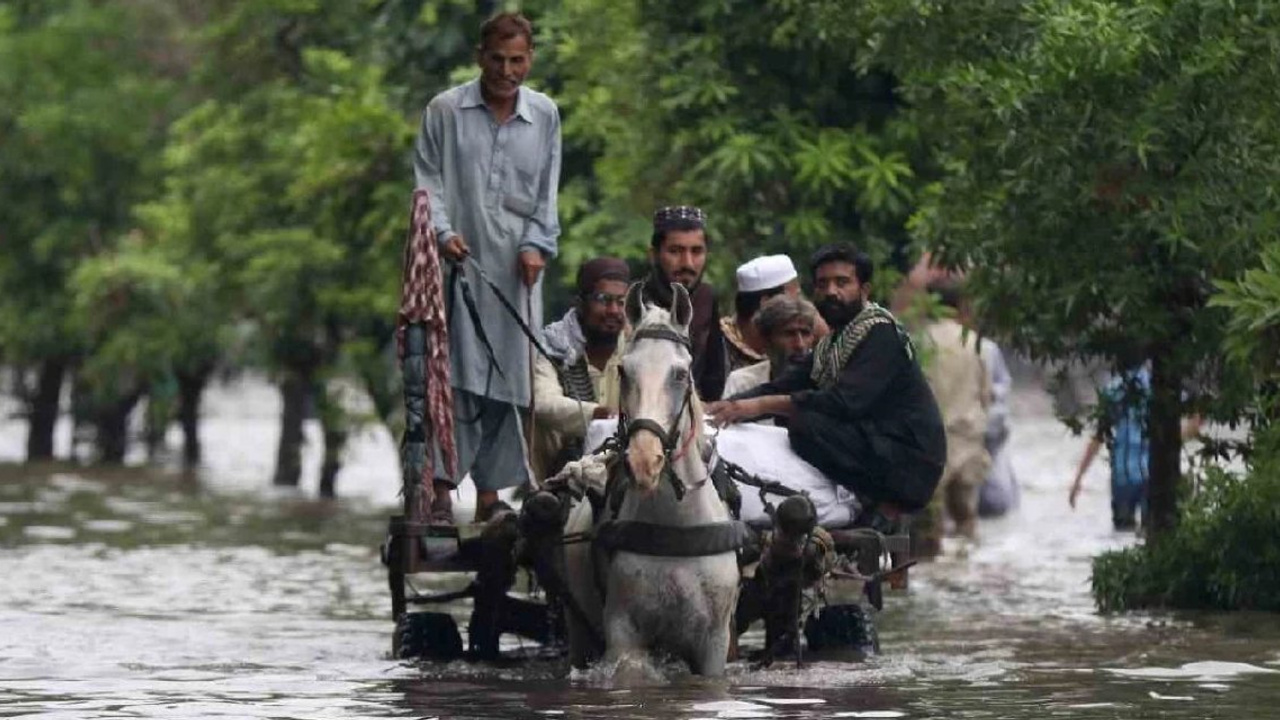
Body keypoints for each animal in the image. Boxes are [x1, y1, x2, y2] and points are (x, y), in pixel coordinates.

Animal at [560, 280, 742, 671]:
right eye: (624, 371)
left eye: (681, 373)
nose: (645, 460)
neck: (676, 528)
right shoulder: (623, 636)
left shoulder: (714, 643)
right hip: (579, 628)